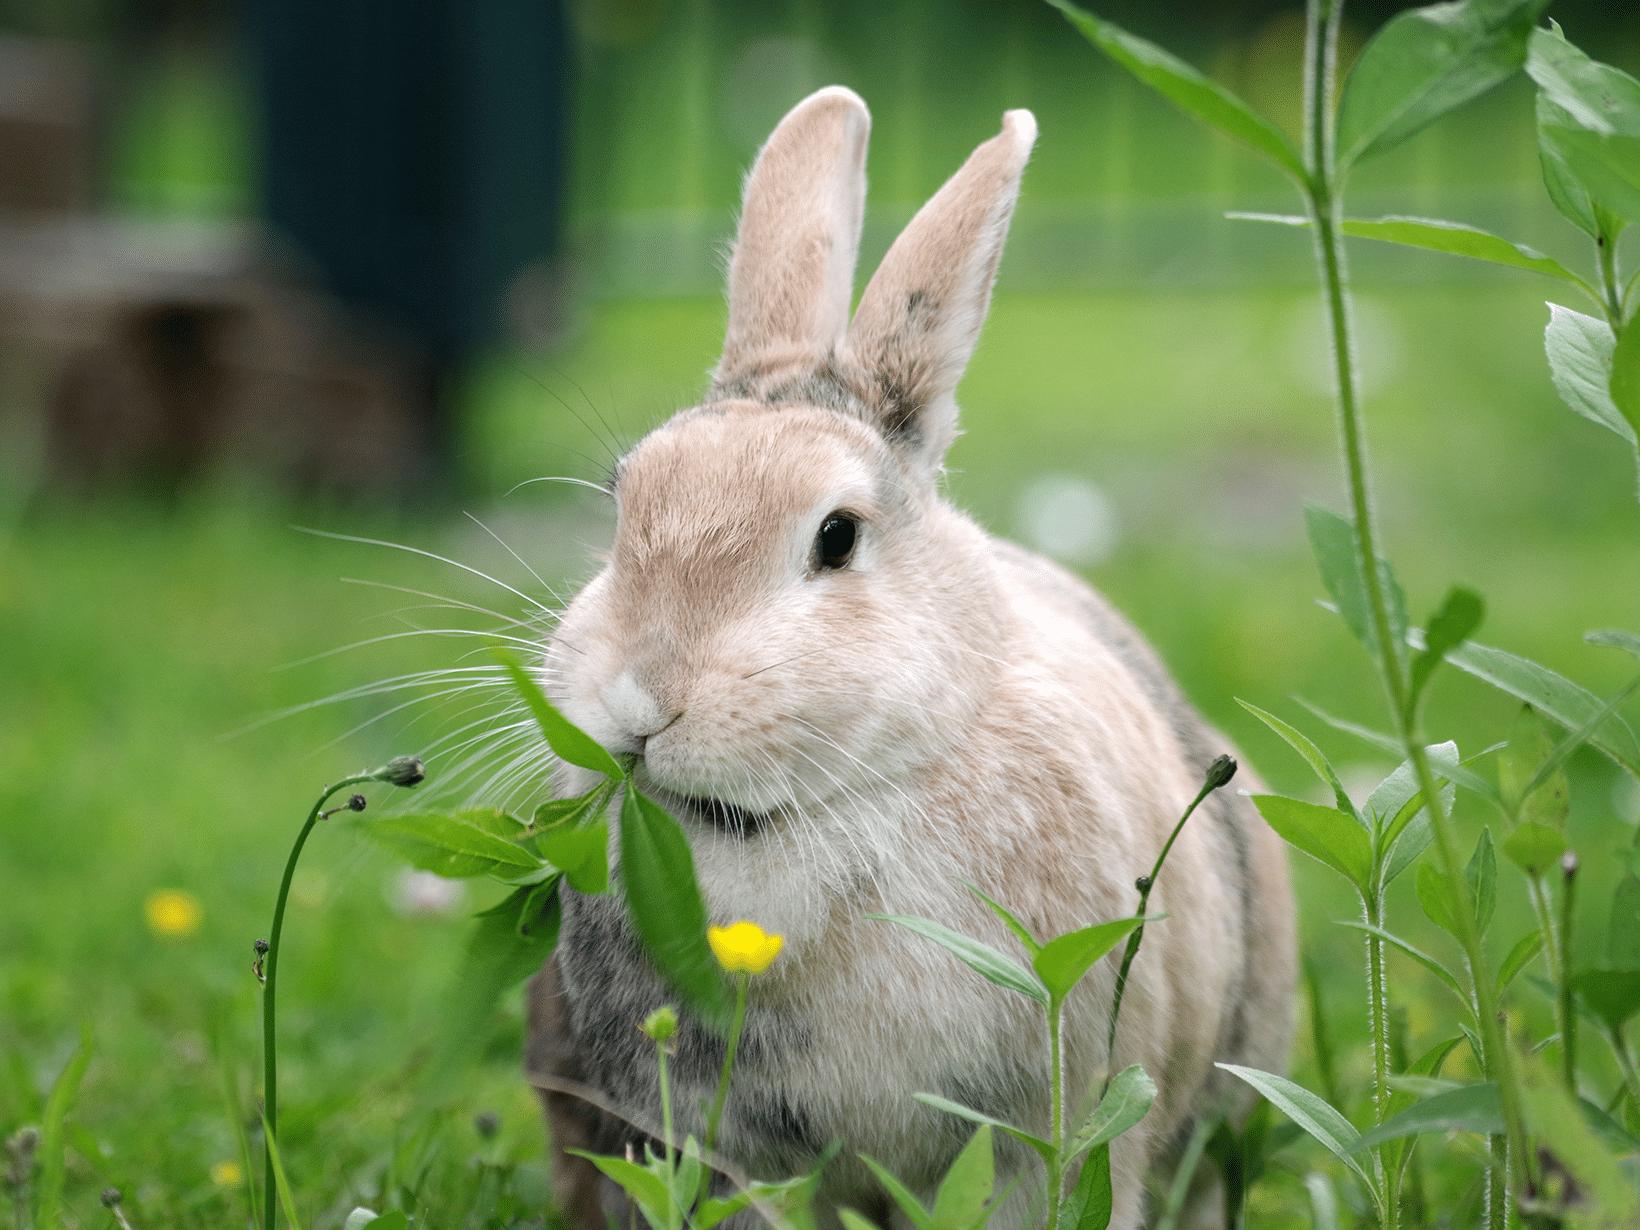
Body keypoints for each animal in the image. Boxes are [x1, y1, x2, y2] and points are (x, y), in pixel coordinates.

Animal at [524, 86, 1292, 1230]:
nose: (640, 700)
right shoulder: (719, 1148)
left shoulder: (1057, 1132)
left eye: (836, 536)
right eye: (627, 502)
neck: (819, 811)